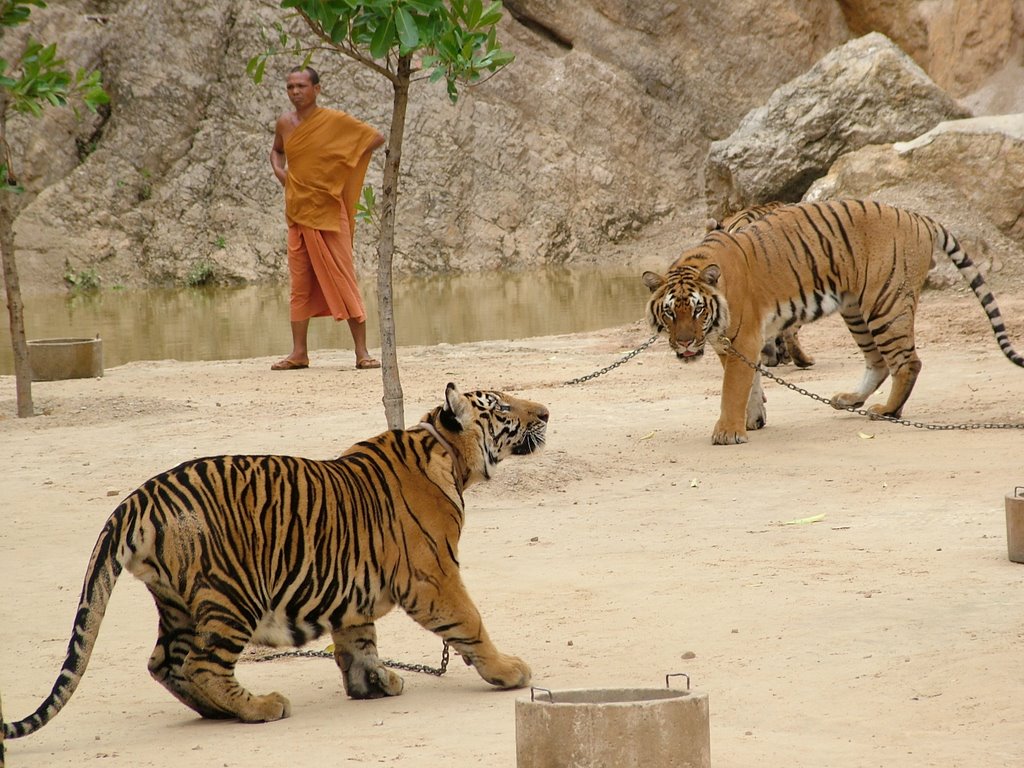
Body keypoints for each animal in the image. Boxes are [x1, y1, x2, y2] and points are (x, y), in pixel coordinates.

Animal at [2, 382, 552, 749]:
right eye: (502, 405)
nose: (546, 411)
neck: (447, 451)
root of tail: (139, 497)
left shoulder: (354, 583)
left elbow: (359, 640)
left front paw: (374, 684)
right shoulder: (433, 576)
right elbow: (471, 623)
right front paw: (508, 671)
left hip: (177, 602)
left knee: (166, 663)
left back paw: (221, 711)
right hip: (232, 594)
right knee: (201, 663)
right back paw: (260, 707)